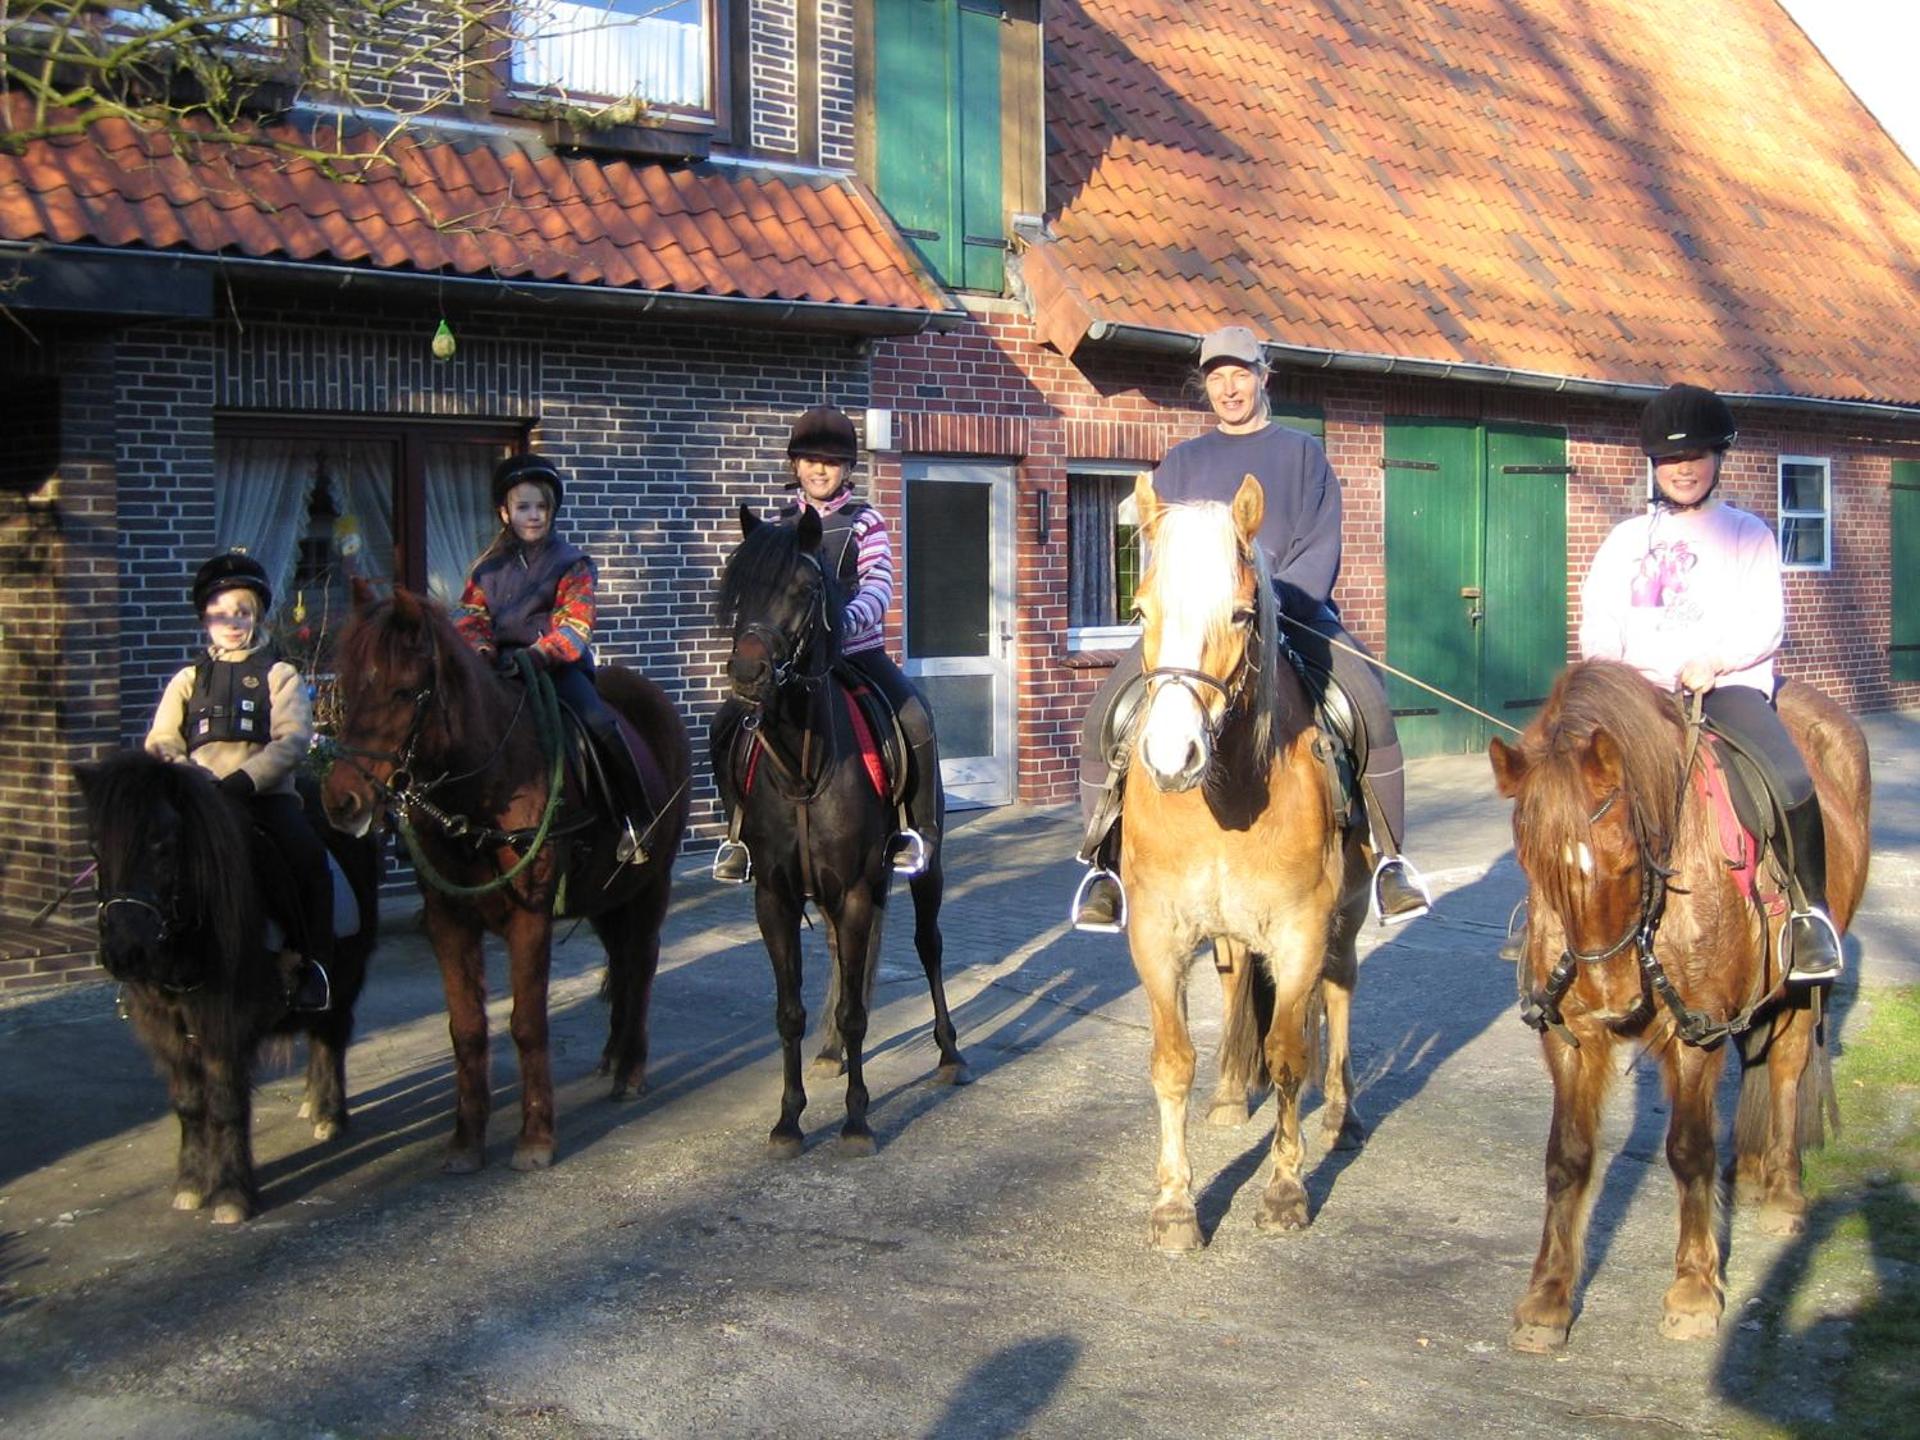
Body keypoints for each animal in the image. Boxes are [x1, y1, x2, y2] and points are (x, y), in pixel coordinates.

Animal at [74, 750, 380, 1222]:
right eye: (95, 847)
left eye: (163, 844)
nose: (125, 953)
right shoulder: (167, 1027)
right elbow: (188, 1104)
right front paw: (190, 1184)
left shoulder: (226, 1025)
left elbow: (225, 1103)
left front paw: (232, 1193)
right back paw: (311, 1104)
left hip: (346, 976)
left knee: (331, 1036)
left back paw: (329, 1114)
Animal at [321, 586, 691, 1173]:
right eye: (348, 687)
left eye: (404, 690)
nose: (342, 801)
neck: (483, 788)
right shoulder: (448, 919)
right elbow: (467, 1028)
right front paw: (466, 1140)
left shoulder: (530, 917)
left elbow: (527, 1023)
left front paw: (536, 1137)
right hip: (606, 897)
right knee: (622, 961)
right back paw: (612, 1057)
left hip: (651, 884)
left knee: (642, 963)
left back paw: (632, 1069)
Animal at [715, 503, 968, 1157]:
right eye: (740, 586)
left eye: (805, 590)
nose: (748, 673)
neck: (804, 769)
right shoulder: (774, 896)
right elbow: (789, 1011)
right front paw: (788, 1120)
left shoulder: (856, 888)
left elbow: (858, 1009)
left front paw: (856, 1121)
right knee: (837, 959)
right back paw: (829, 1054)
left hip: (923, 864)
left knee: (928, 945)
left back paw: (950, 1054)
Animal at [1120, 473, 1370, 1252]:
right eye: (1140, 609)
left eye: (1239, 613)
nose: (1172, 758)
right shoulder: (1156, 932)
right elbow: (1172, 1062)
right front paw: (1175, 1205)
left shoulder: (1301, 931)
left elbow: (1290, 1053)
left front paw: (1286, 1191)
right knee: (1234, 982)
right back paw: (1232, 1096)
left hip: (1347, 918)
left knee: (1340, 992)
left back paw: (1342, 1116)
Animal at [1488, 660, 1869, 1351]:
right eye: (1532, 865)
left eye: (1627, 855)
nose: (1613, 1002)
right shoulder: (1570, 1036)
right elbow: (1568, 1157)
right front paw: (1548, 1299)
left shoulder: (1697, 1032)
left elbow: (1689, 1152)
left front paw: (1694, 1291)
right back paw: (1751, 1174)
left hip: (1801, 994)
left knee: (1787, 1070)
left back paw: (1782, 1192)